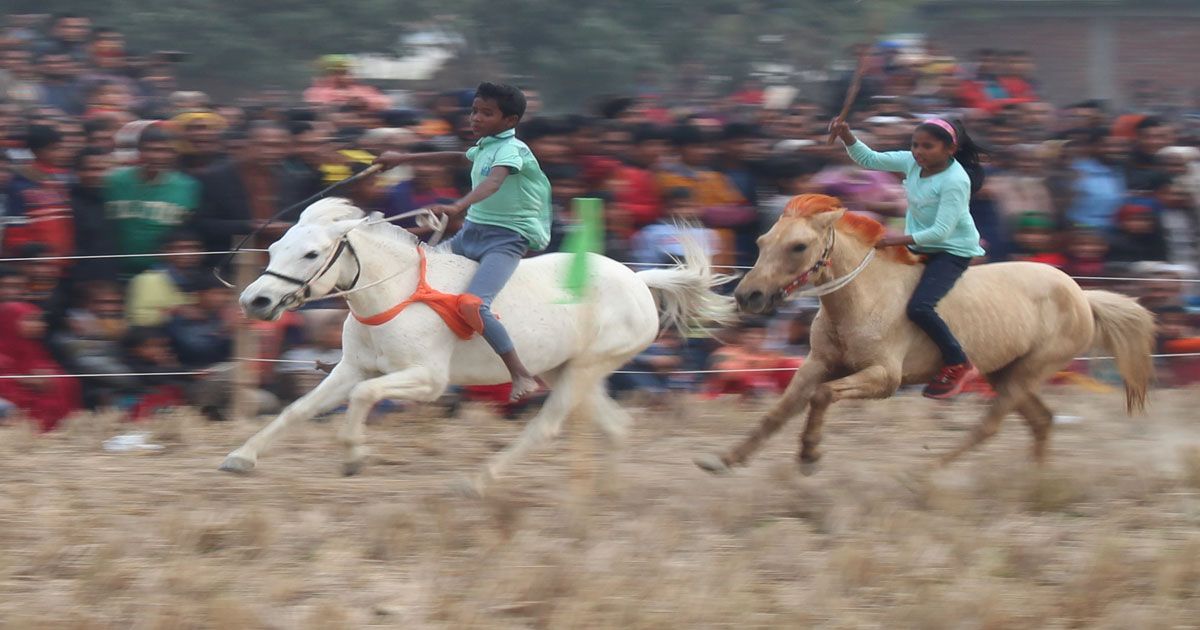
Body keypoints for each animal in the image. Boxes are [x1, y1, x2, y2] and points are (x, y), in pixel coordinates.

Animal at [220, 199, 734, 489]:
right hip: (566, 369)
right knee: (616, 426)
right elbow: (298, 409)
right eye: (274, 249)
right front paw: (240, 458)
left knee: (546, 428)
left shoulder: (426, 379)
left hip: (587, 368)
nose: (255, 300)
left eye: (311, 253)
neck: (397, 292)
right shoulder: (352, 367)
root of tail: (639, 281)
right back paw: (607, 492)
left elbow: (365, 397)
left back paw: (479, 480)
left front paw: (353, 456)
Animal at [700, 194, 1156, 475]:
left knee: (990, 426)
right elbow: (780, 411)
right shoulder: (818, 363)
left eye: (798, 246)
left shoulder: (884, 378)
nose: (748, 296)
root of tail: (1082, 295)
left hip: (1028, 372)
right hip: (1004, 372)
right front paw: (723, 459)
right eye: (762, 240)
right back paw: (1035, 477)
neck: (863, 297)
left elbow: (822, 396)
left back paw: (929, 469)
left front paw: (809, 455)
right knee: (1041, 421)